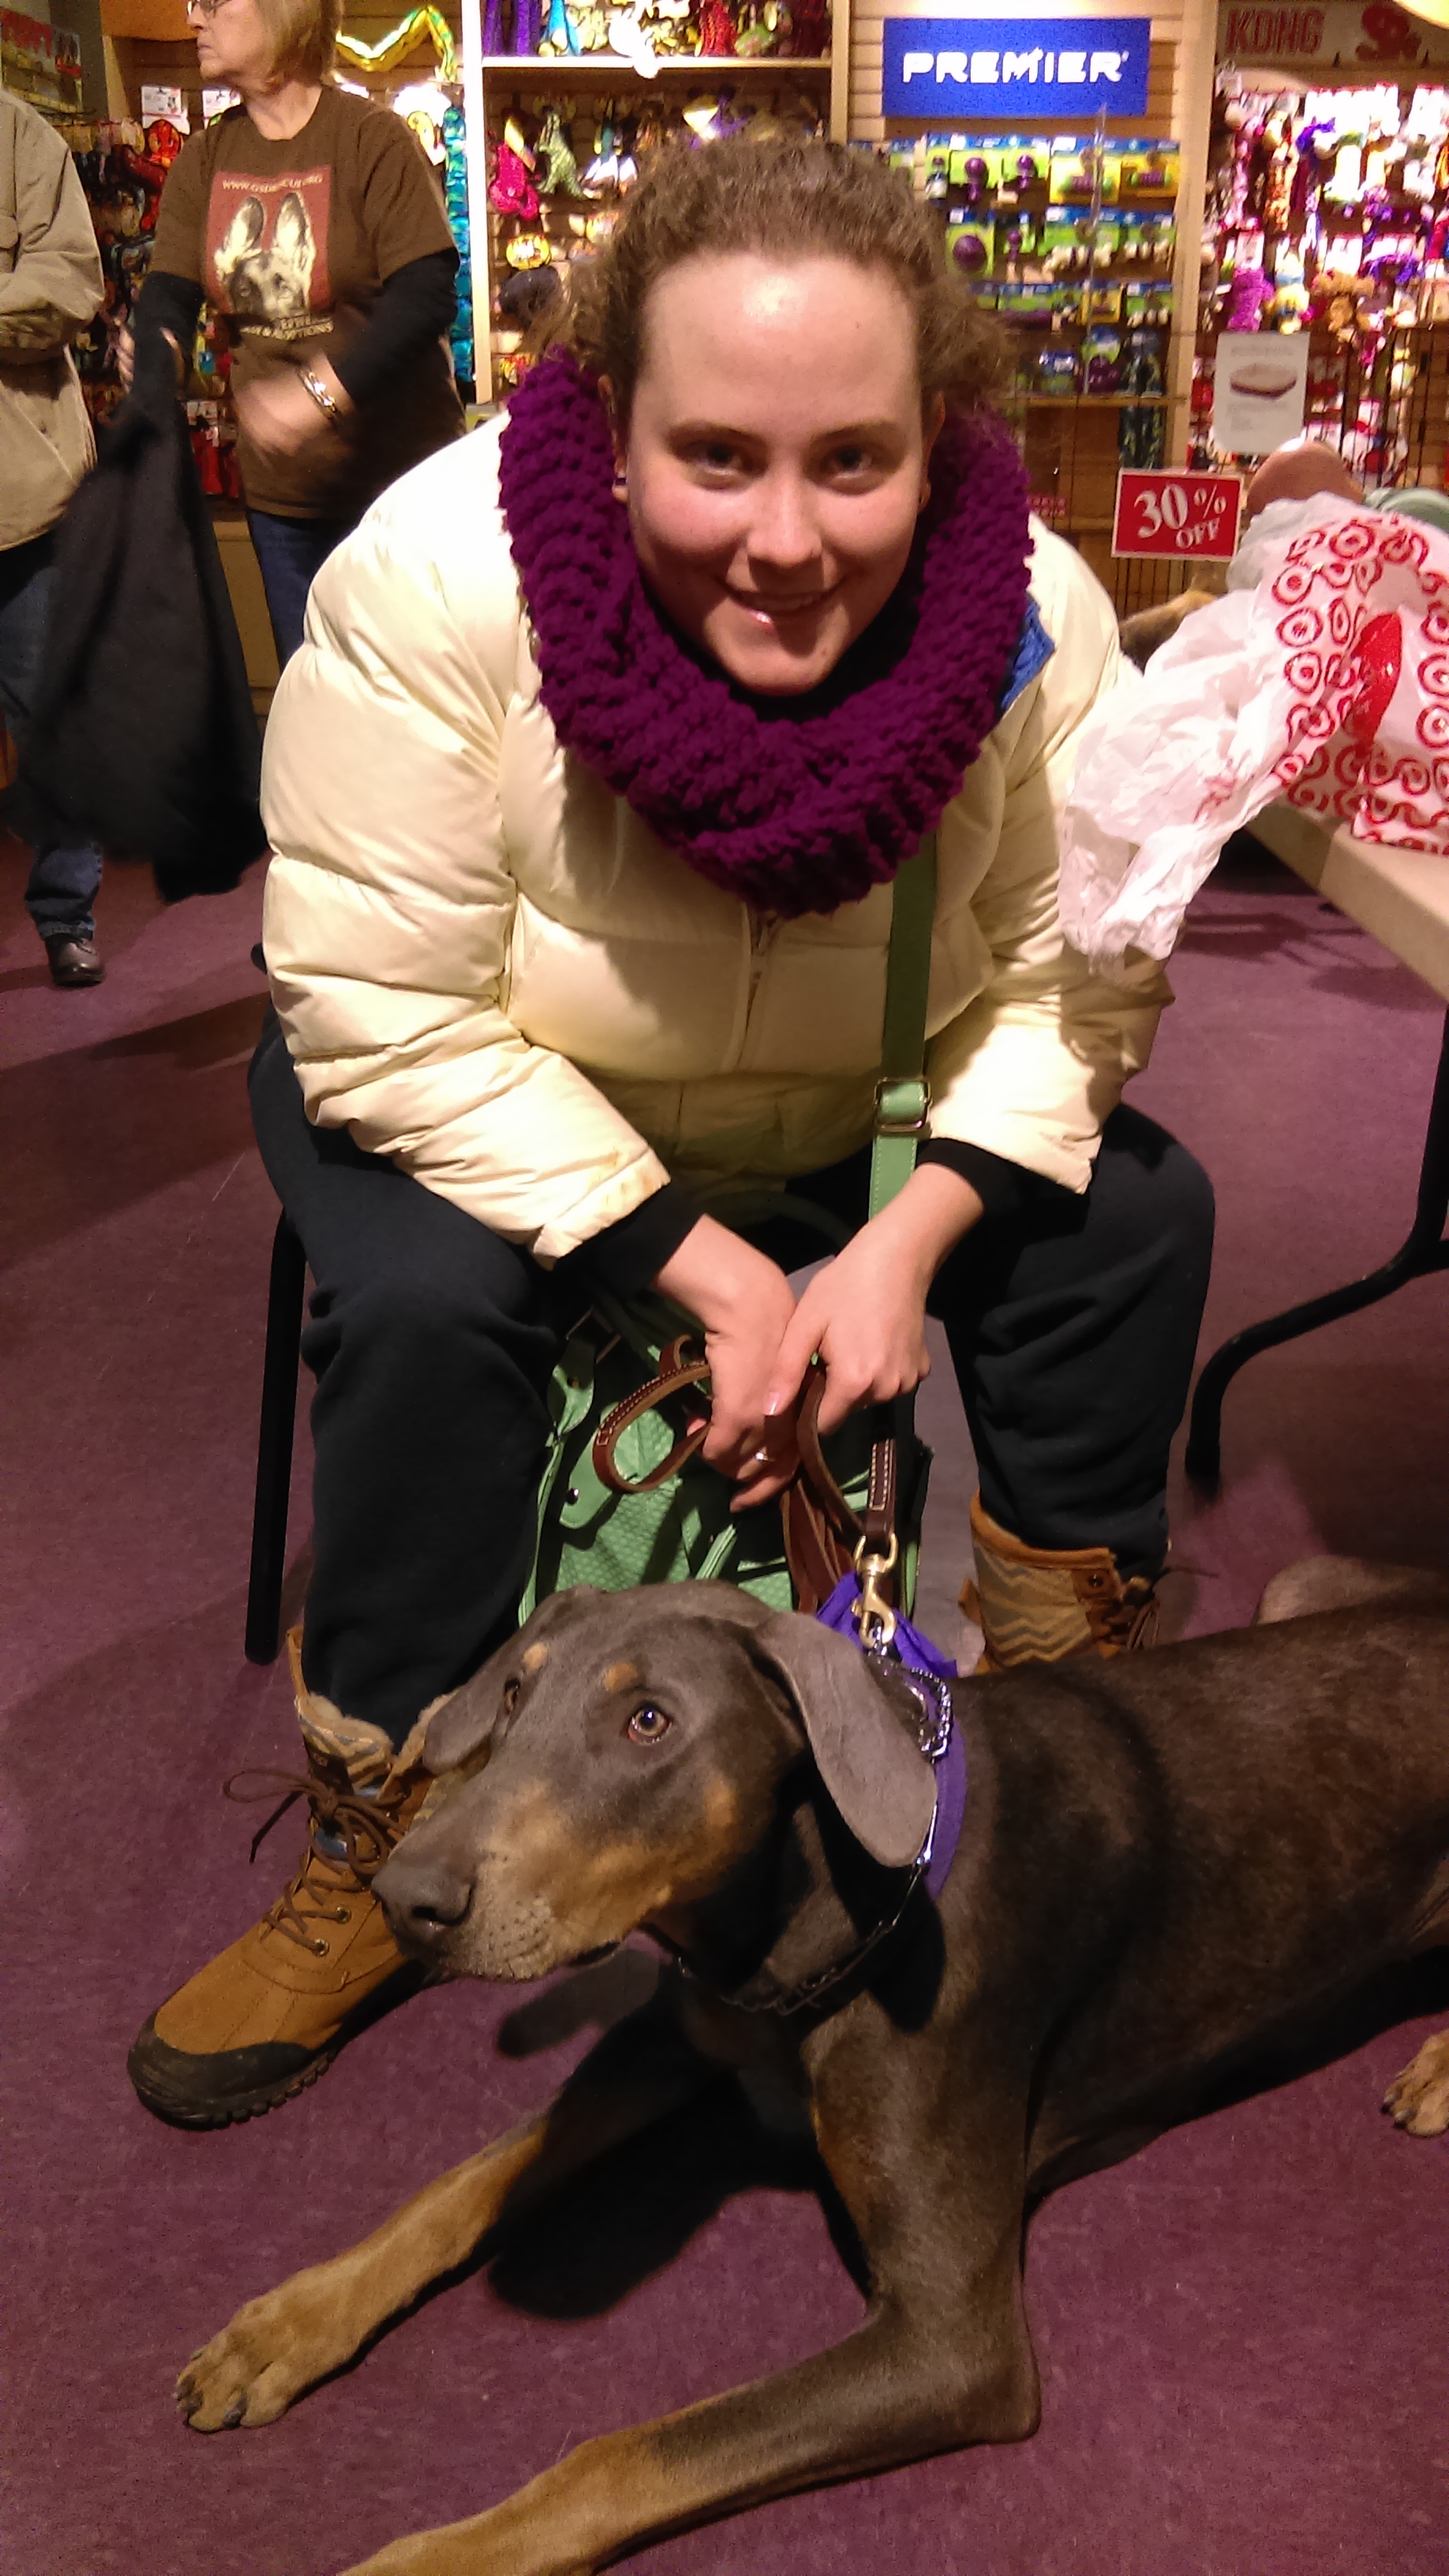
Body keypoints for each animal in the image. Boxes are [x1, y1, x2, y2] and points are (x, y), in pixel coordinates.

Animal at [175, 1562, 1449, 2576]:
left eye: (649, 1721)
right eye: (516, 1692)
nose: (407, 1899)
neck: (802, 1924)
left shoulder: (951, 2345)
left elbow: (624, 2455)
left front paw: (437, 2559)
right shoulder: (680, 2034)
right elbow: (469, 2179)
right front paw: (288, 2324)